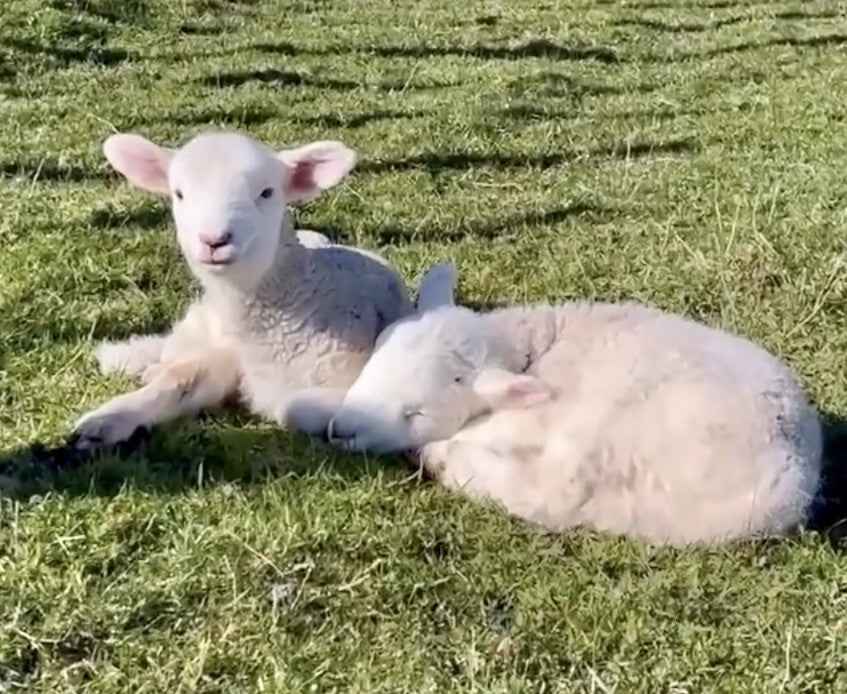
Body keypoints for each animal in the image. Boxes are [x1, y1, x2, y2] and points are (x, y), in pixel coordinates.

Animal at [72, 130, 413, 449]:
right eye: (179, 193)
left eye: (267, 192)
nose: (214, 240)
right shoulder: (229, 354)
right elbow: (183, 379)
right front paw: (106, 420)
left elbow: (294, 407)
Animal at [327, 264, 823, 546]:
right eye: (374, 357)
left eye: (415, 413)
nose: (339, 430)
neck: (525, 348)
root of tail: (793, 476)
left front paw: (435, 451)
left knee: (551, 494)